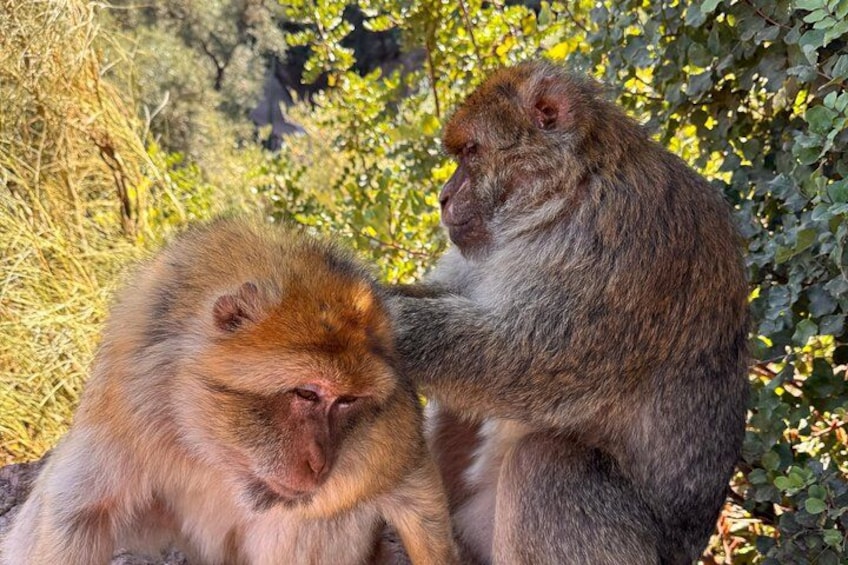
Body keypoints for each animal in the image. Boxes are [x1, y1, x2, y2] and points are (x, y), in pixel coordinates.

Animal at [1, 218, 458, 565]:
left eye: (347, 401)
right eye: (308, 394)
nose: (320, 464)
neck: (217, 452)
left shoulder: (386, 438)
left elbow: (414, 491)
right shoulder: (126, 404)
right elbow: (75, 513)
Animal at [388, 60, 749, 564]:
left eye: (472, 152)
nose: (443, 196)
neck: (571, 189)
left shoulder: (620, 241)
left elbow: (524, 359)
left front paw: (374, 316)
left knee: (547, 463)